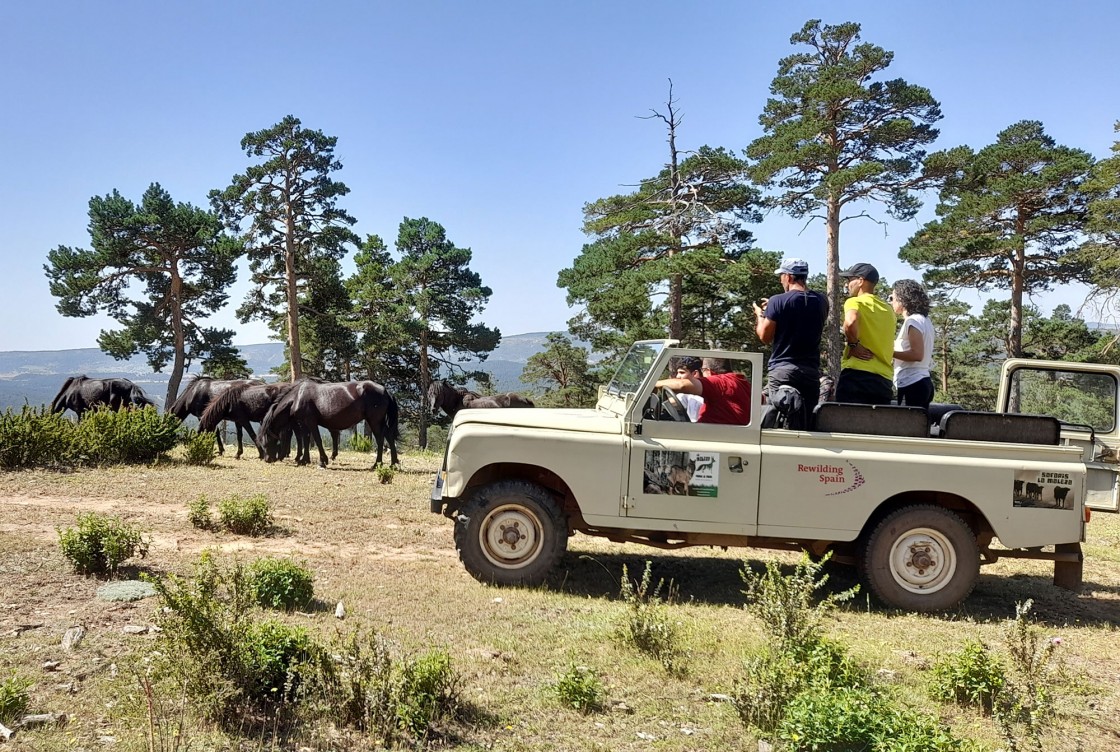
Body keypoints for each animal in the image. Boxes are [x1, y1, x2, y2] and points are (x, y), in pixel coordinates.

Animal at [257, 378, 398, 468]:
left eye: (266, 441)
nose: (267, 459)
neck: (297, 397)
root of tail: (385, 390)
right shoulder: (303, 424)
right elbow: (306, 440)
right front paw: (304, 460)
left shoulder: (311, 422)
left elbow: (317, 440)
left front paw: (322, 461)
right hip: (380, 422)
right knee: (389, 437)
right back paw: (393, 463)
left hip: (374, 421)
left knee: (380, 439)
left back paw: (377, 464)